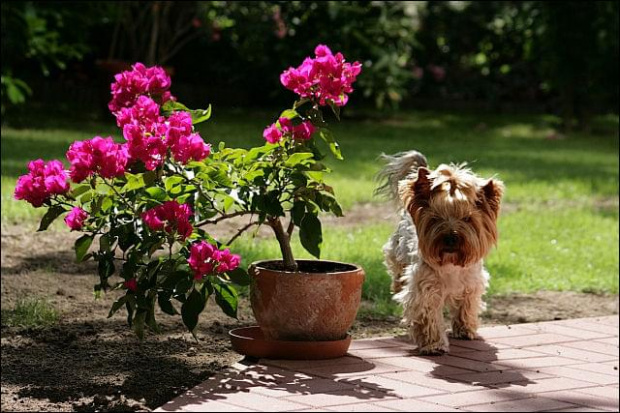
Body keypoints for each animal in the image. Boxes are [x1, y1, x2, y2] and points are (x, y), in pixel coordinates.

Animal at [378, 151, 504, 354]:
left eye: (467, 218)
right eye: (436, 218)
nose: (451, 237)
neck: (451, 263)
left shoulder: (471, 284)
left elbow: (466, 306)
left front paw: (466, 330)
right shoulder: (425, 289)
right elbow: (429, 316)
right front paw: (434, 344)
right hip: (397, 251)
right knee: (397, 272)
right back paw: (397, 285)